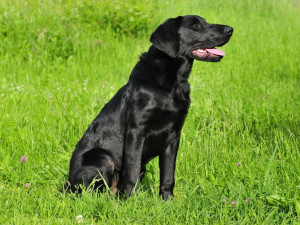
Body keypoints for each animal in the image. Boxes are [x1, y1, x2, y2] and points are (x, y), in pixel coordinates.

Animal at [67, 14, 233, 200]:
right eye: (196, 25)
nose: (230, 29)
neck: (174, 82)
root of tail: (67, 184)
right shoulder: (136, 131)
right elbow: (131, 172)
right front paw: (131, 201)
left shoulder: (174, 135)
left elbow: (168, 174)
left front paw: (168, 200)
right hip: (102, 160)